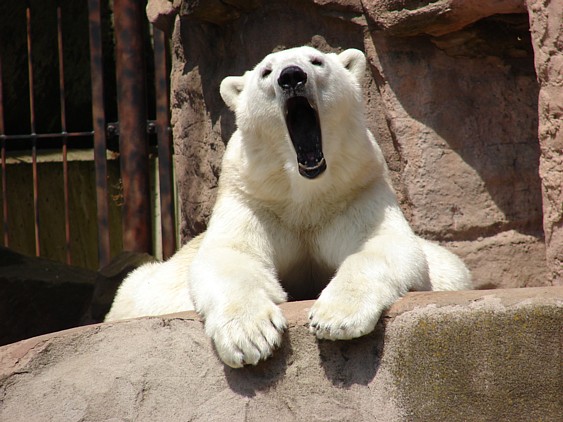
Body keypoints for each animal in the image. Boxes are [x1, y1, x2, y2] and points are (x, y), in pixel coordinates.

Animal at [105, 46, 472, 368]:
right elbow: (232, 255)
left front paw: (335, 317)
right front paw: (250, 337)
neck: (304, 192)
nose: (292, 76)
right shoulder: (252, 199)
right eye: (266, 71)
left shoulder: (357, 191)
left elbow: (384, 245)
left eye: (317, 60)